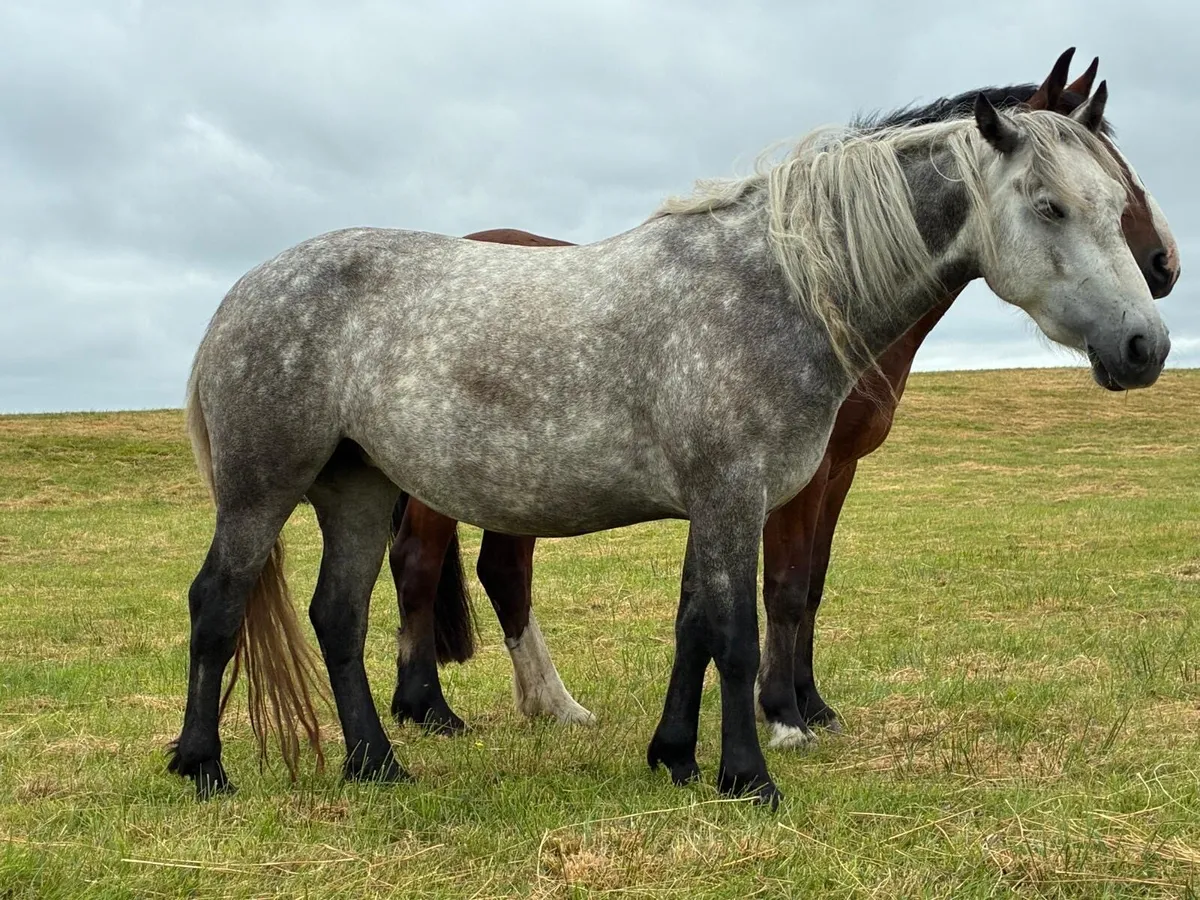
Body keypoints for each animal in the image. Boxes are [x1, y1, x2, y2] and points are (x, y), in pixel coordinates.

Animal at [171, 58, 1171, 807]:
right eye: (1051, 206)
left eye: (1114, 192)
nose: (1147, 341)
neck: (778, 288)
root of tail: (246, 289)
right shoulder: (736, 495)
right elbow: (739, 627)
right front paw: (752, 774)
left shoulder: (722, 502)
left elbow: (694, 623)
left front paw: (677, 757)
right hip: (263, 492)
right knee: (219, 601)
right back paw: (203, 767)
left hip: (358, 488)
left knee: (338, 617)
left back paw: (377, 764)